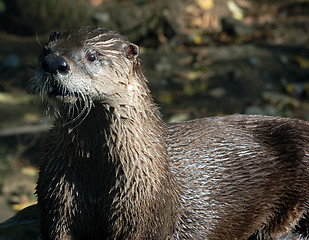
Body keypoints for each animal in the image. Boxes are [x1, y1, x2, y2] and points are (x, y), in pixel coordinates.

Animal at [28, 27, 308, 239]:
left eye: (92, 55)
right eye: (45, 51)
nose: (53, 63)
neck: (96, 173)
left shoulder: (142, 212)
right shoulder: (57, 200)